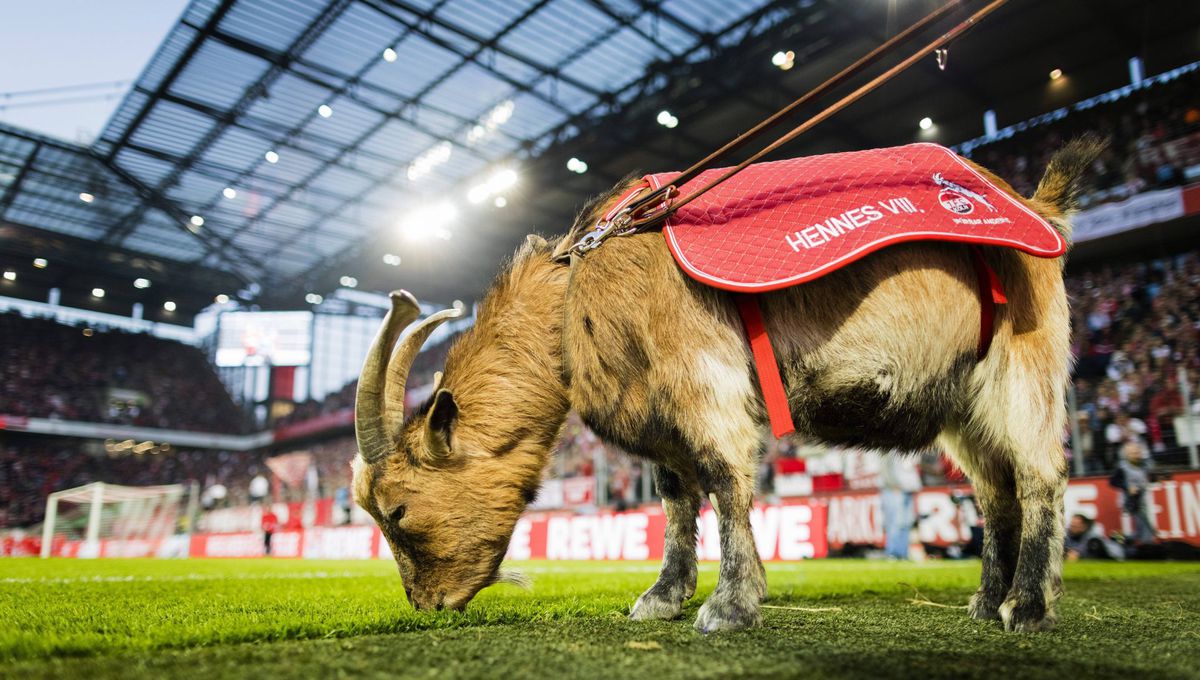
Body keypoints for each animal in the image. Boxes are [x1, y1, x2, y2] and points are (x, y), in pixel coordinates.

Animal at [350, 138, 1104, 633]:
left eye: (397, 511)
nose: (427, 605)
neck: (578, 288)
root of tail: (1035, 203)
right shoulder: (658, 409)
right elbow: (676, 498)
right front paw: (664, 595)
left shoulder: (702, 381)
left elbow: (722, 479)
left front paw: (730, 604)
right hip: (963, 401)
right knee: (995, 492)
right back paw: (986, 599)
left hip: (1022, 364)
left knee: (1040, 478)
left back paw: (1028, 606)